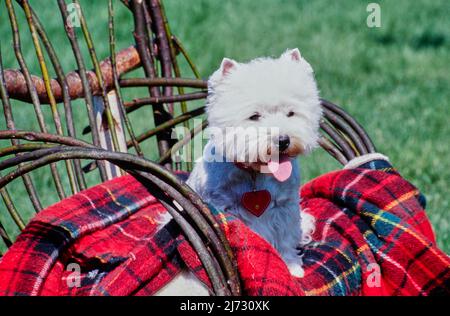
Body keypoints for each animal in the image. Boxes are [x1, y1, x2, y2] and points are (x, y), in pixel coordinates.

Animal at [156, 48, 322, 296]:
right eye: (254, 116)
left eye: (291, 113)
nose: (283, 140)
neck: (256, 174)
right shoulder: (226, 210)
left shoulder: (285, 207)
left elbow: (284, 238)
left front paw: (292, 268)